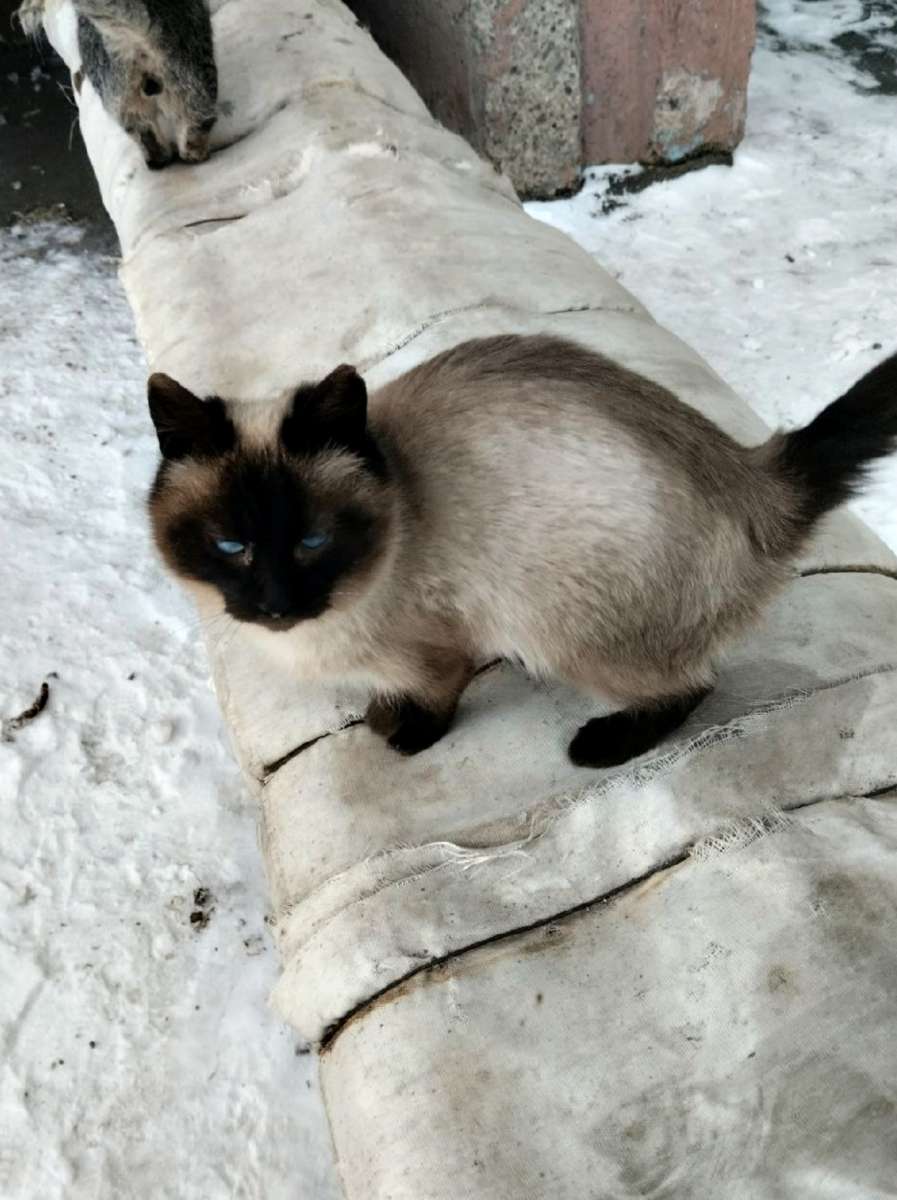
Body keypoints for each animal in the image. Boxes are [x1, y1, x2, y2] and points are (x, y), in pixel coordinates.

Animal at [17, 0, 217, 168]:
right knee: (199, 121)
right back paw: (195, 152)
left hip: (121, 98)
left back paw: (158, 157)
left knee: (143, 130)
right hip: (196, 73)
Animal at [146, 334, 897, 768]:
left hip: (562, 628)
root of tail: (752, 477)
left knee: (694, 684)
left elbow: (433, 698)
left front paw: (406, 735)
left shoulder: (442, 647)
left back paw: (599, 746)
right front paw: (382, 713)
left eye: (312, 541)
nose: (275, 605)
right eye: (230, 545)